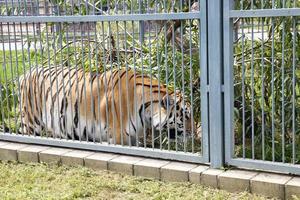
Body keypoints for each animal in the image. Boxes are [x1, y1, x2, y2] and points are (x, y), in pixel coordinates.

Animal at [19, 66, 196, 145]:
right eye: (186, 116)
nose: (195, 133)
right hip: (31, 123)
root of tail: (26, 72)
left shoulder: (133, 138)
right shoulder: (118, 137)